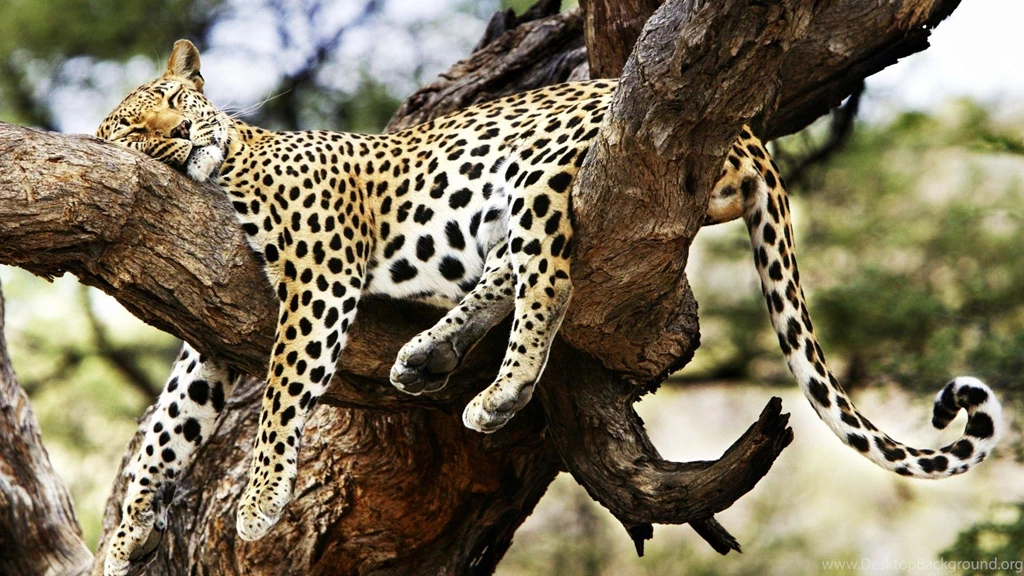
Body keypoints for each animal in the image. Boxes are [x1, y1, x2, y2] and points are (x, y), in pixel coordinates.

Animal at [96, 39, 1002, 575]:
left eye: (177, 102)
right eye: (133, 128)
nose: (180, 137)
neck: (228, 166)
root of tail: (747, 131)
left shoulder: (320, 277)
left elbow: (284, 394)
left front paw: (258, 503)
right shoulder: (211, 333)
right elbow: (167, 427)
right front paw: (123, 535)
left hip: (536, 171)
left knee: (550, 278)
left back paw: (498, 392)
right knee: (509, 272)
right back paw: (430, 355)